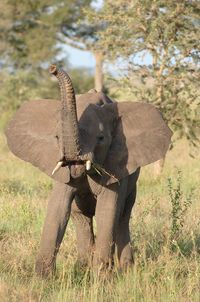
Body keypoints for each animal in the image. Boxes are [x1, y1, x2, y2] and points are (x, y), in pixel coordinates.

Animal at [4, 65, 172, 276]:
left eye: (101, 138)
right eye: (56, 137)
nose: (53, 68)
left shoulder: (117, 165)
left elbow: (107, 211)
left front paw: (102, 278)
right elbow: (58, 209)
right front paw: (42, 279)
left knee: (123, 216)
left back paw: (125, 270)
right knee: (81, 218)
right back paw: (82, 269)